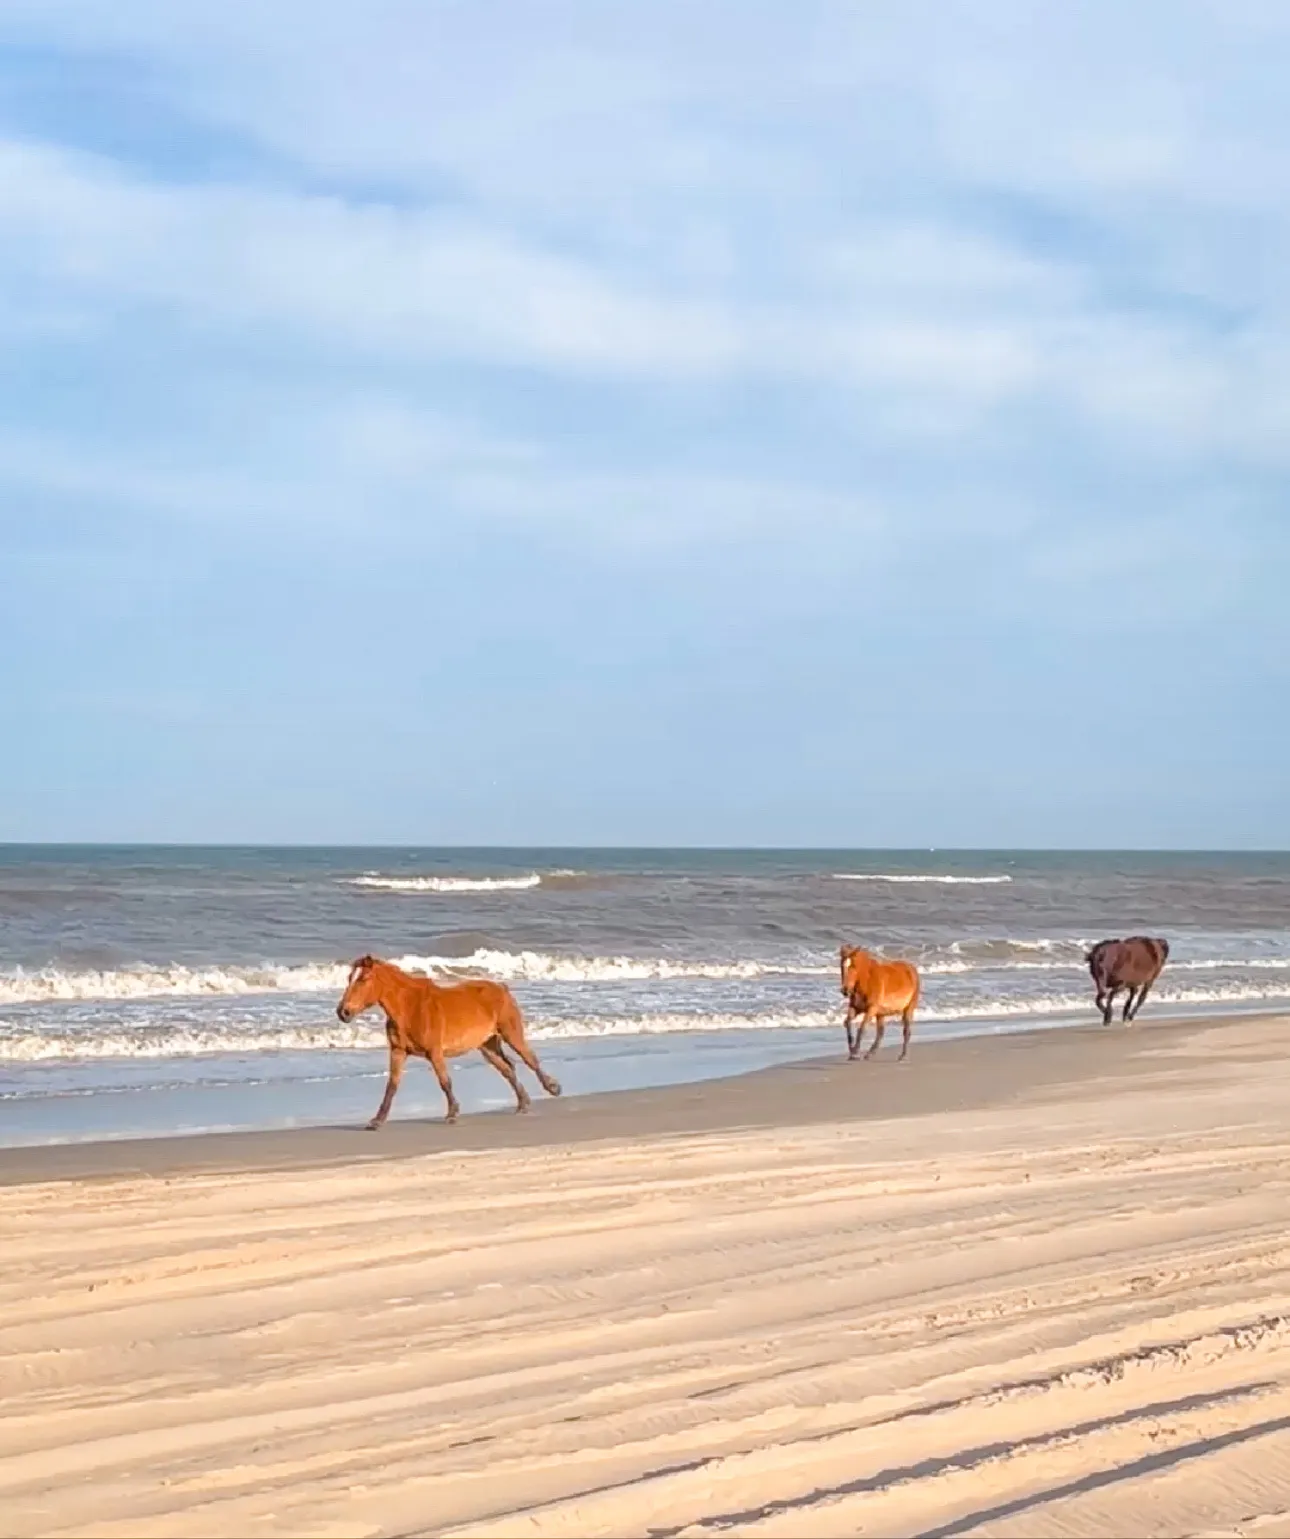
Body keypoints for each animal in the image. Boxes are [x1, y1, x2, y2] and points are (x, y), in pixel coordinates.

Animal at [335, 955, 562, 1129]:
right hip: (488, 1046)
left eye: (363, 979)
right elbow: (392, 1085)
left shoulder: (434, 1052)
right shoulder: (398, 1051)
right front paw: (377, 1120)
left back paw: (552, 1088)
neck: (409, 1008)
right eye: (349, 978)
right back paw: (523, 1103)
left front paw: (452, 1113)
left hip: (511, 1034)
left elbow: (444, 1082)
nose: (343, 1012)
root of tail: (502, 988)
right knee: (508, 1068)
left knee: (530, 1060)